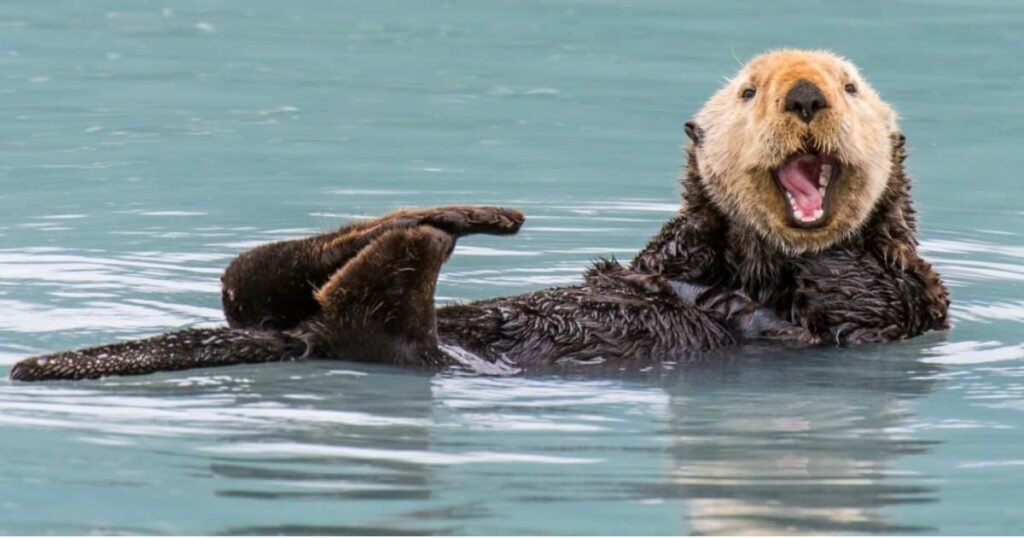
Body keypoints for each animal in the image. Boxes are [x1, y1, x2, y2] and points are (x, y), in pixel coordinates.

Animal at [9, 49, 949, 382]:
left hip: (403, 346)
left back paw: (431, 234)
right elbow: (654, 264)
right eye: (750, 91)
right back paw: (456, 215)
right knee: (252, 280)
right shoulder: (670, 254)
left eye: (850, 86)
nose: (804, 95)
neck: (756, 262)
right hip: (287, 307)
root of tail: (296, 338)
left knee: (356, 314)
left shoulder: (901, 303)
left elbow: (853, 295)